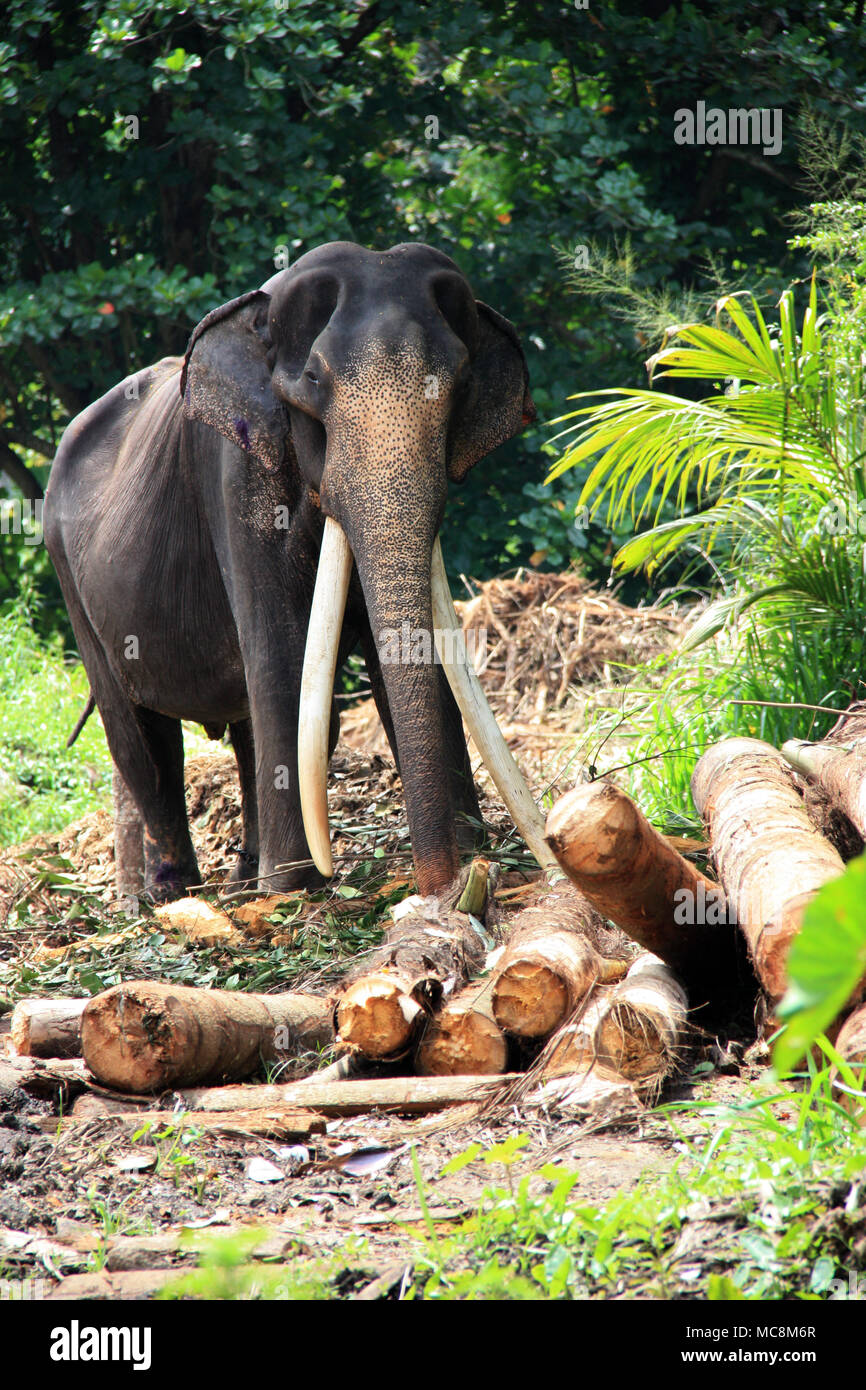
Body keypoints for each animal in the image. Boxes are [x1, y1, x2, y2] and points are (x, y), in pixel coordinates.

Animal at [44, 240, 543, 904]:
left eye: (460, 385)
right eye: (313, 381)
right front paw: (296, 889)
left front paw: (469, 853)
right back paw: (179, 896)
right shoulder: (234, 475)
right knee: (142, 743)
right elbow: (281, 652)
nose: (442, 885)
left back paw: (243, 880)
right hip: (73, 583)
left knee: (237, 730)